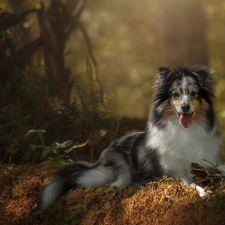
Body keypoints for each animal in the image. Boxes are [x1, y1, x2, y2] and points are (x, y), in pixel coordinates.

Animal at [40, 65, 225, 211]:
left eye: (194, 94)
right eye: (176, 95)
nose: (185, 107)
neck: (185, 130)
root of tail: (100, 158)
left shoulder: (209, 162)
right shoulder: (175, 172)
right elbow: (193, 184)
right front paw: (204, 192)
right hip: (121, 170)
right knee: (112, 184)